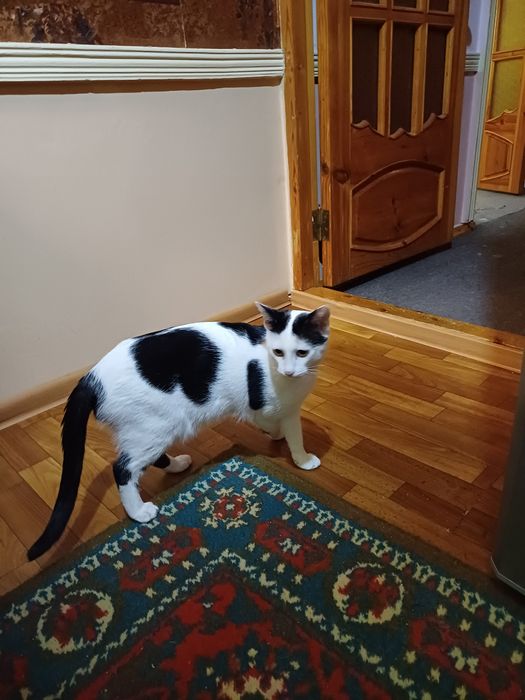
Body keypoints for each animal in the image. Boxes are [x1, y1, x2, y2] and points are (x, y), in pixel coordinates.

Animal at [27, 303, 330, 560]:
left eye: (302, 353)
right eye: (279, 352)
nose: (289, 372)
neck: (268, 360)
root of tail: (91, 377)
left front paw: (276, 435)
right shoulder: (263, 404)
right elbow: (289, 431)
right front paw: (302, 458)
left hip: (154, 428)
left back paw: (177, 465)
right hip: (155, 426)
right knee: (122, 469)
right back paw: (138, 511)